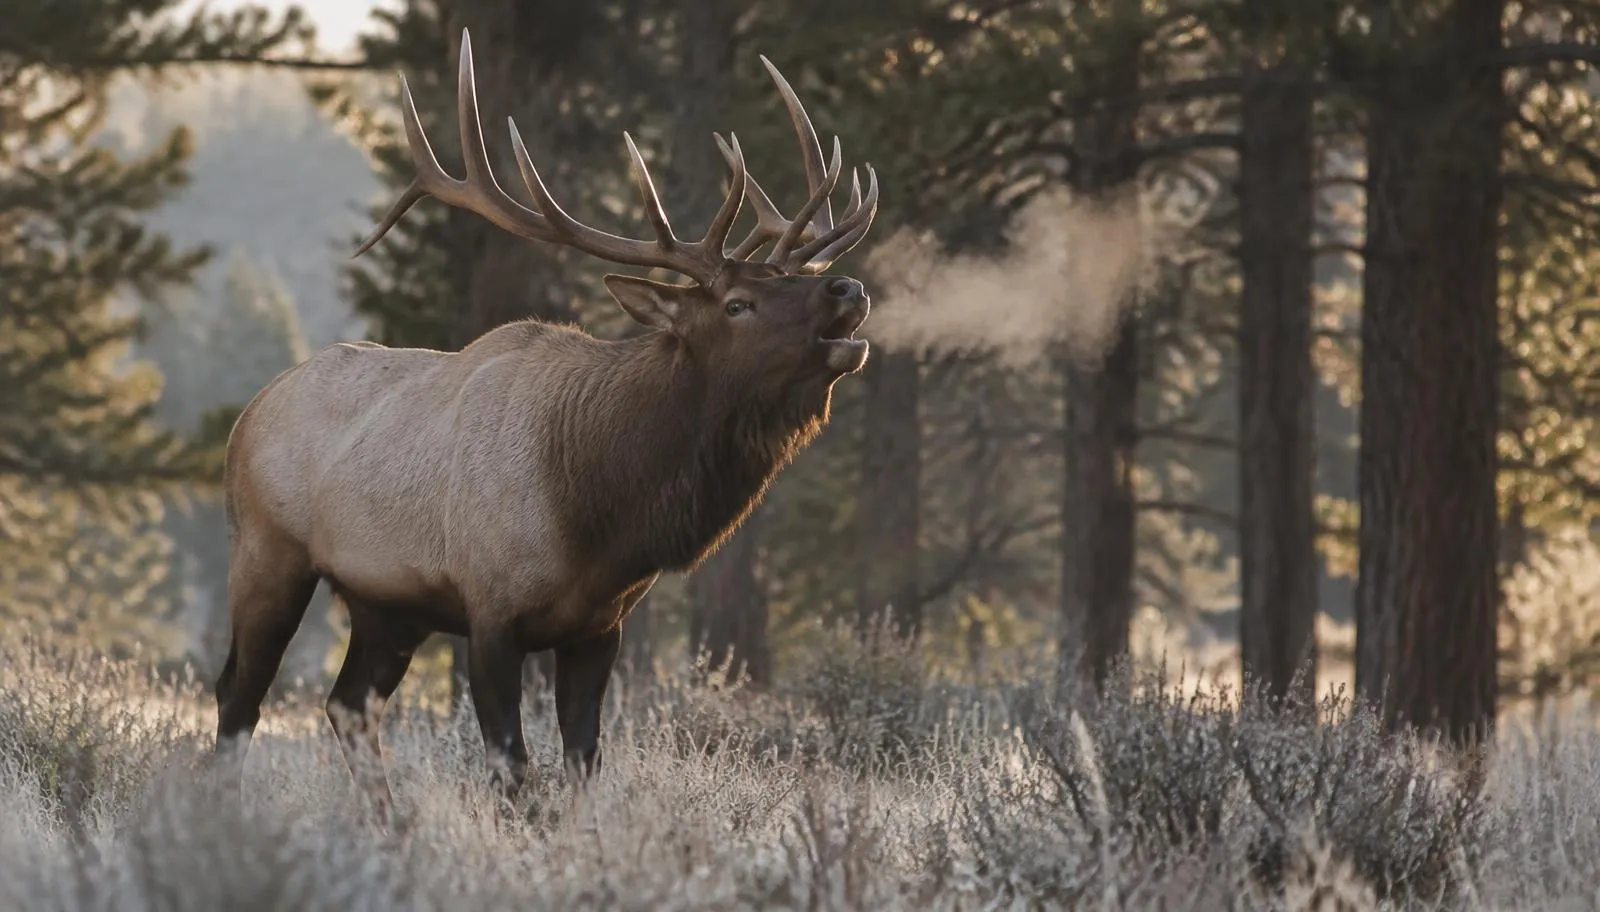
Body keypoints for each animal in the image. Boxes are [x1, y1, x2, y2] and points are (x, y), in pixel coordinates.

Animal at [211, 27, 879, 820]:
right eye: (737, 303)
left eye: (791, 280)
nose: (848, 287)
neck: (598, 515)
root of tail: (247, 415)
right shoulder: (490, 612)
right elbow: (513, 772)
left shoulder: (599, 629)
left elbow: (584, 765)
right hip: (268, 553)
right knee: (237, 696)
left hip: (386, 606)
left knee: (347, 706)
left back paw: (391, 825)